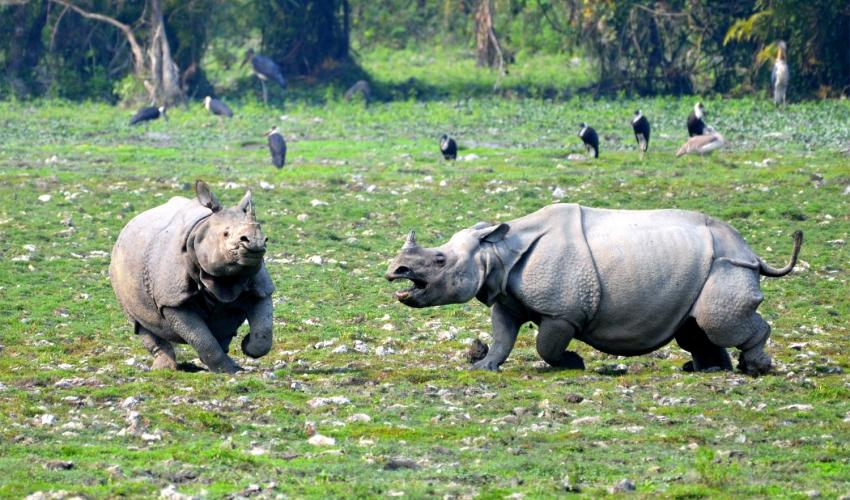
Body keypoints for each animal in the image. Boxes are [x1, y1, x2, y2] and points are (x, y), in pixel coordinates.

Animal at [110, 181, 275, 373]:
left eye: (264, 236)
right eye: (225, 234)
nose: (255, 242)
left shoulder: (261, 289)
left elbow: (264, 333)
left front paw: (246, 346)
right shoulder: (173, 300)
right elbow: (202, 339)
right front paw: (228, 372)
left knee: (222, 327)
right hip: (118, 269)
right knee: (140, 324)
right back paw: (165, 368)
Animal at [386, 204, 802, 375]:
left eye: (439, 260)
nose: (395, 271)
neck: (496, 251)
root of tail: (752, 252)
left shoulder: (563, 310)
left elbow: (547, 344)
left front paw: (573, 363)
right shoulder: (505, 296)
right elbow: (503, 336)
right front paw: (483, 367)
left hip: (728, 265)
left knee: (718, 322)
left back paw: (756, 368)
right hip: (708, 266)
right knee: (695, 326)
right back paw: (706, 371)